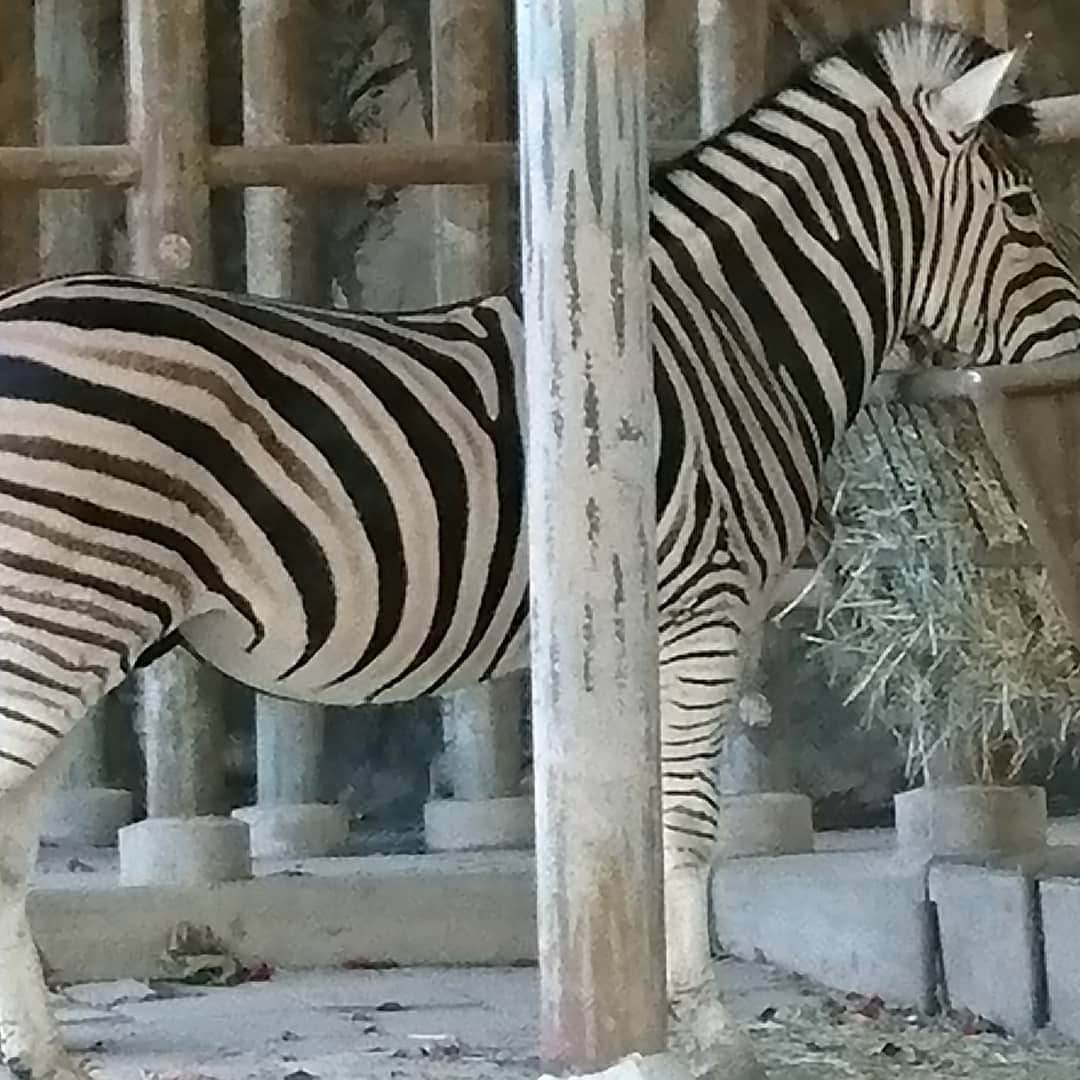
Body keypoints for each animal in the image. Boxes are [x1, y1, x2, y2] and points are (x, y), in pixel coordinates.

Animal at [2, 19, 1080, 1080]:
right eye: (1024, 206)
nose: (1075, 356)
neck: (732, 339)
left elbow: (652, 822)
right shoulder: (707, 602)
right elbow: (687, 823)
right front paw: (709, 1032)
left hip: (69, 627)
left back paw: (46, 1053)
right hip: (61, 622)